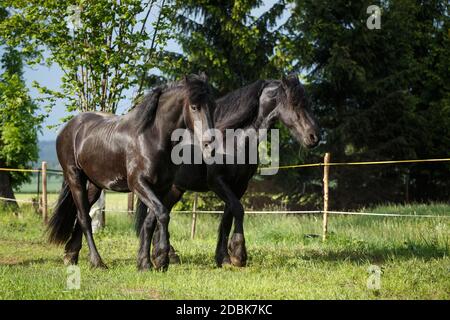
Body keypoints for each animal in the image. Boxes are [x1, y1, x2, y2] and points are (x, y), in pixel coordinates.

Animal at [46, 74, 215, 270]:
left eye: (212, 105)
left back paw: (71, 255)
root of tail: (70, 127)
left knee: (83, 213)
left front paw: (145, 262)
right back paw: (97, 262)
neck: (151, 137)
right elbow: (162, 214)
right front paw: (161, 259)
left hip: (95, 184)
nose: (209, 142)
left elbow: (151, 220)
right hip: (75, 177)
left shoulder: (162, 187)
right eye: (194, 107)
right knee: (84, 218)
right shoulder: (138, 184)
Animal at [135, 75, 322, 268]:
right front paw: (238, 254)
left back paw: (167, 255)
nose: (315, 136)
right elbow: (238, 210)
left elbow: (227, 217)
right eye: (294, 103)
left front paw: (223, 257)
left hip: (175, 189)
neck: (233, 139)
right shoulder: (217, 182)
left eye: (307, 102)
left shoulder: (239, 186)